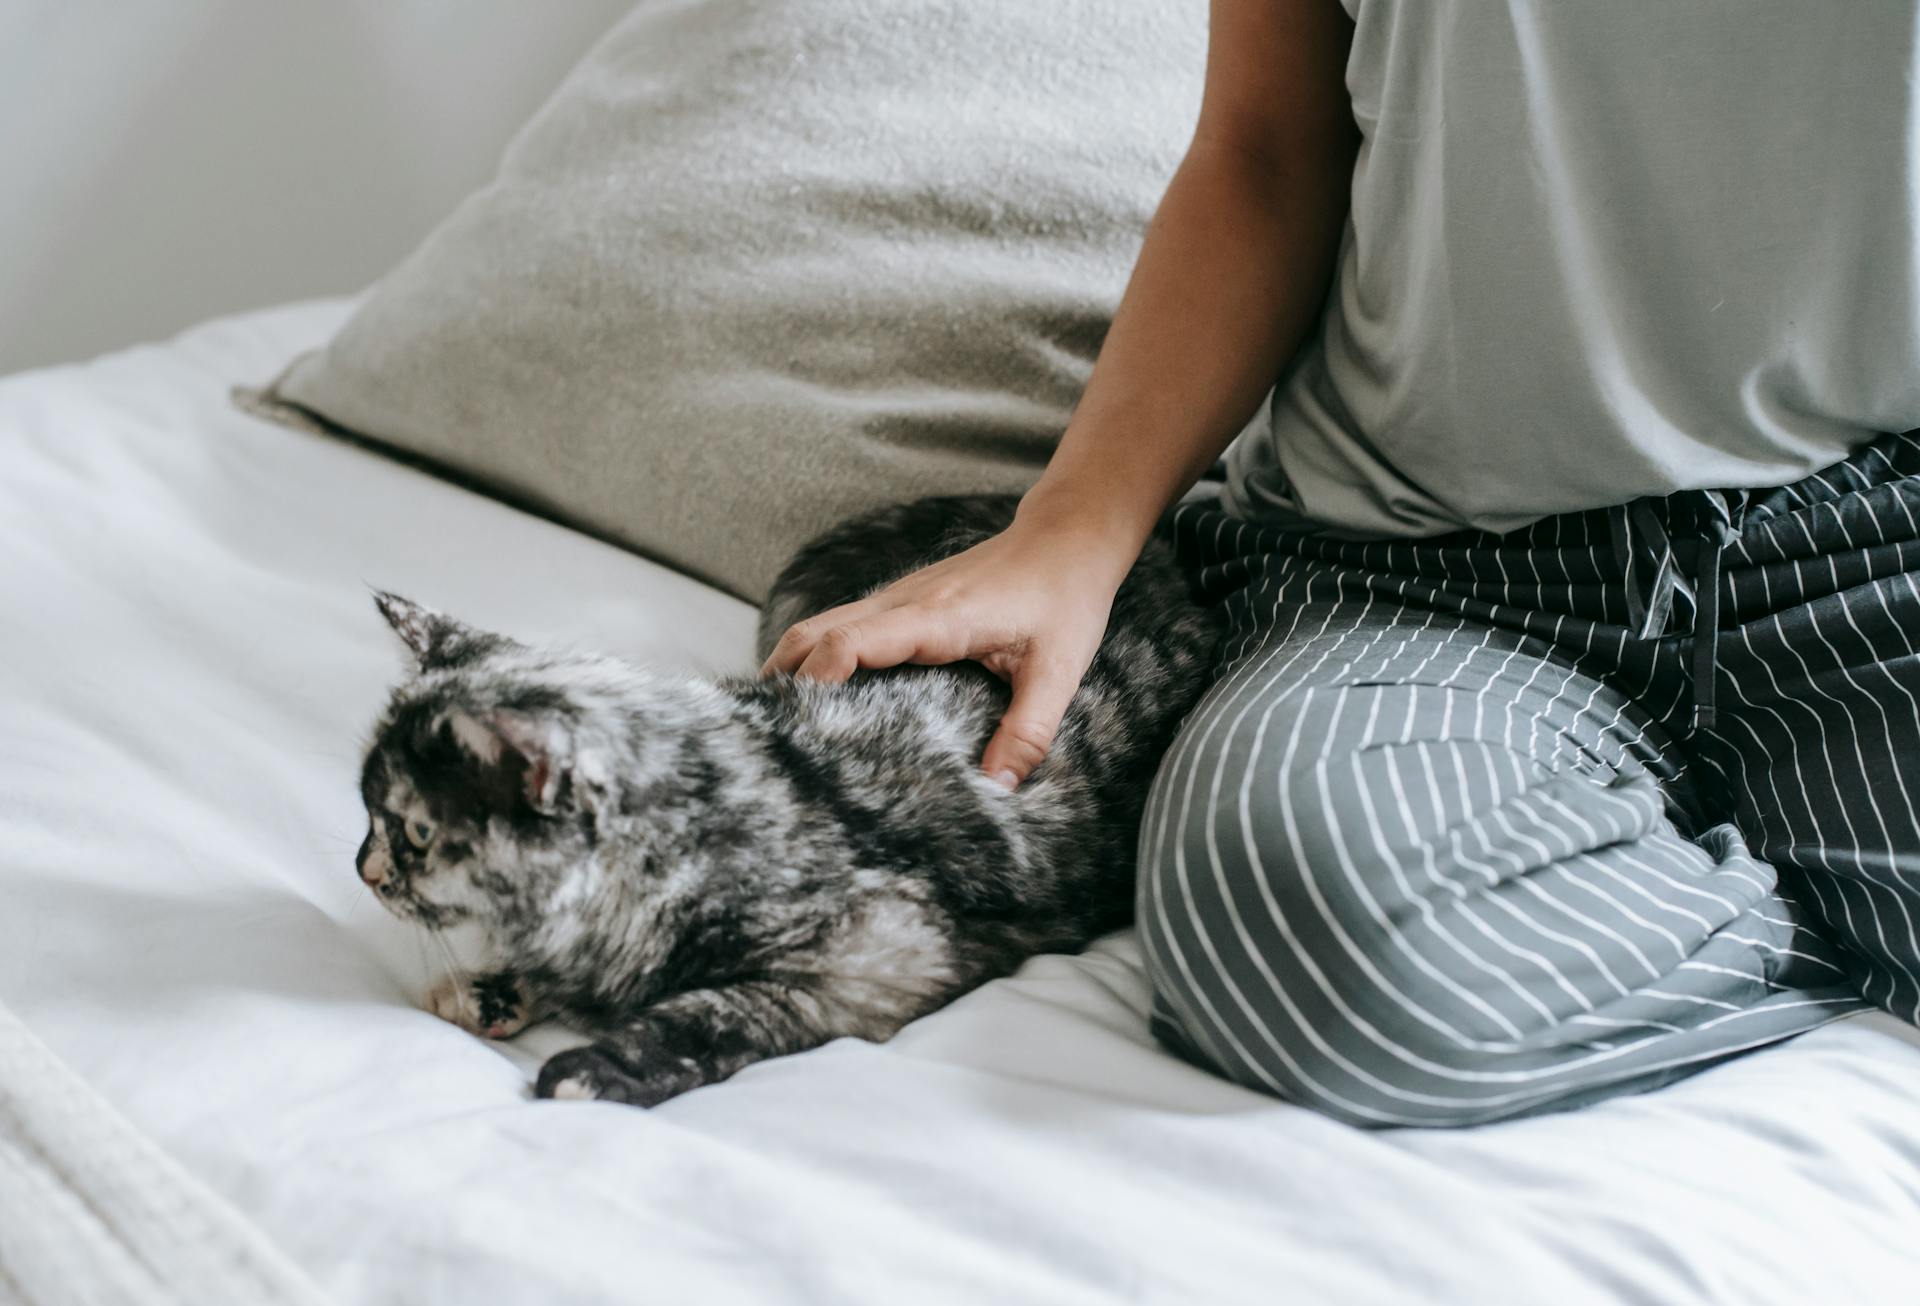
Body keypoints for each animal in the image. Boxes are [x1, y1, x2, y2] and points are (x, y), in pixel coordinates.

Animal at [355, 495, 1221, 1106]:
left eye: (415, 832)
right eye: (371, 815)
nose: (365, 869)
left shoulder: (877, 965)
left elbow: (718, 1013)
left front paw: (600, 1065)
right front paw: (496, 985)